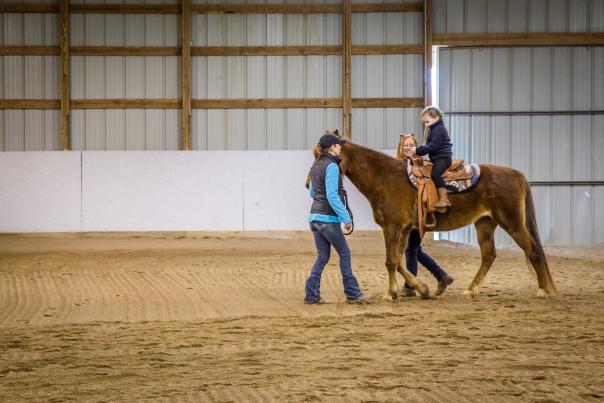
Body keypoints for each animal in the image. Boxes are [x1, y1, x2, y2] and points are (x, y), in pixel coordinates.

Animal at [336, 140, 556, 302]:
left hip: (513, 223)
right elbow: (399, 262)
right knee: (488, 255)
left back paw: (543, 290)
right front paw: (421, 289)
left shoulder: (392, 227)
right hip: (485, 223)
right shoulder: (404, 229)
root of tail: (514, 173)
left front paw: (391, 294)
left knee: (533, 250)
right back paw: (471, 289)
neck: (385, 177)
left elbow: (391, 262)